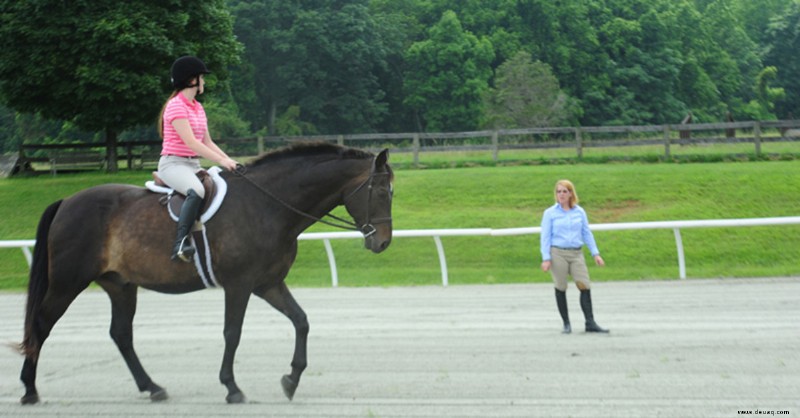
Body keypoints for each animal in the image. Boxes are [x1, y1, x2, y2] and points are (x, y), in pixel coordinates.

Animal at [18, 142, 394, 404]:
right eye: (379, 191)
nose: (384, 242)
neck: (268, 205)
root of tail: (67, 201)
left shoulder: (268, 283)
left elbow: (301, 321)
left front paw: (291, 380)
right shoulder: (239, 285)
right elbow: (232, 333)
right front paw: (232, 388)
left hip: (121, 285)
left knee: (121, 334)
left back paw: (152, 387)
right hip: (67, 282)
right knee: (41, 325)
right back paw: (29, 390)